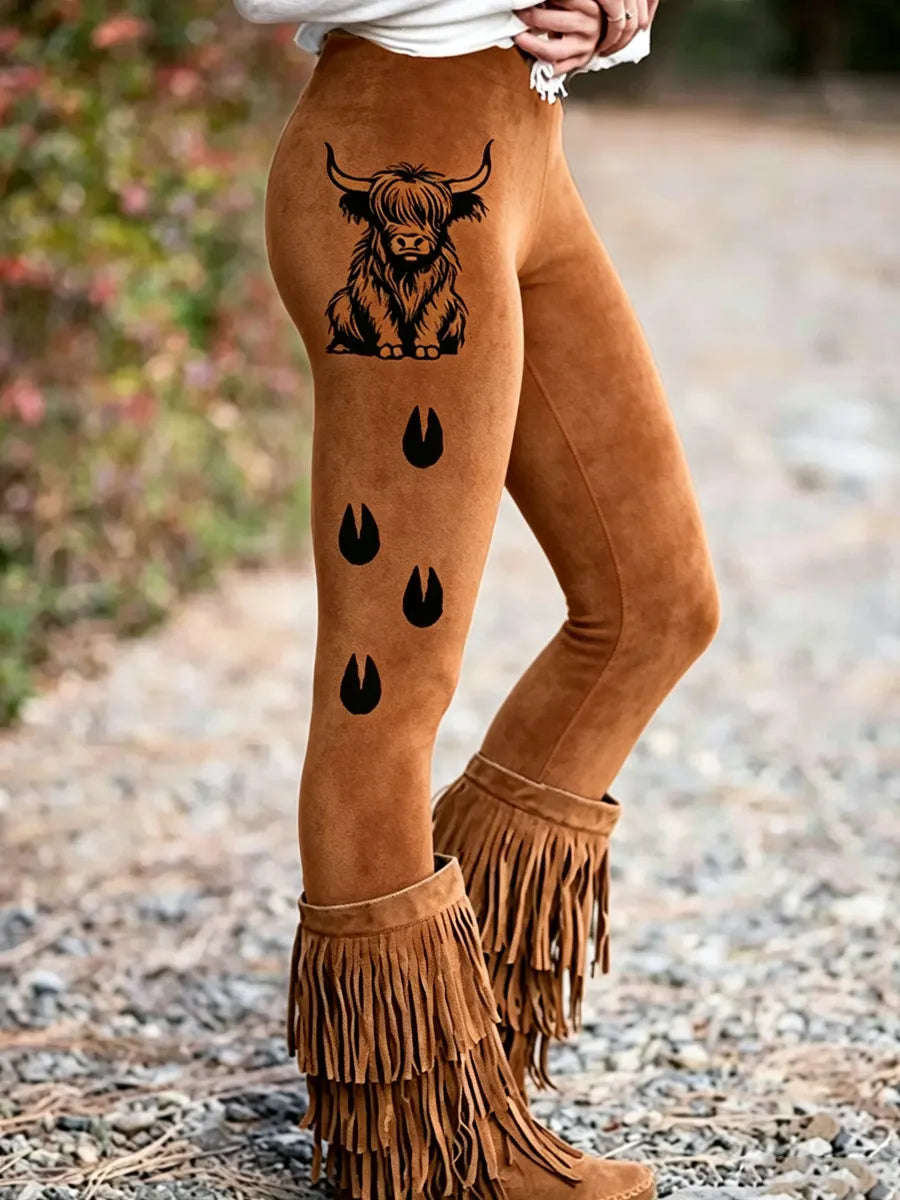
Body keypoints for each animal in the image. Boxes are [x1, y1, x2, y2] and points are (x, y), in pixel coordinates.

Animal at [323, 140, 493, 359]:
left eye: (436, 218)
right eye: (383, 215)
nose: (410, 241)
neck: (408, 274)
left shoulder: (439, 292)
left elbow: (431, 315)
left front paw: (427, 348)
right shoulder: (373, 289)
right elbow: (383, 314)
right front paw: (390, 347)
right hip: (340, 302)